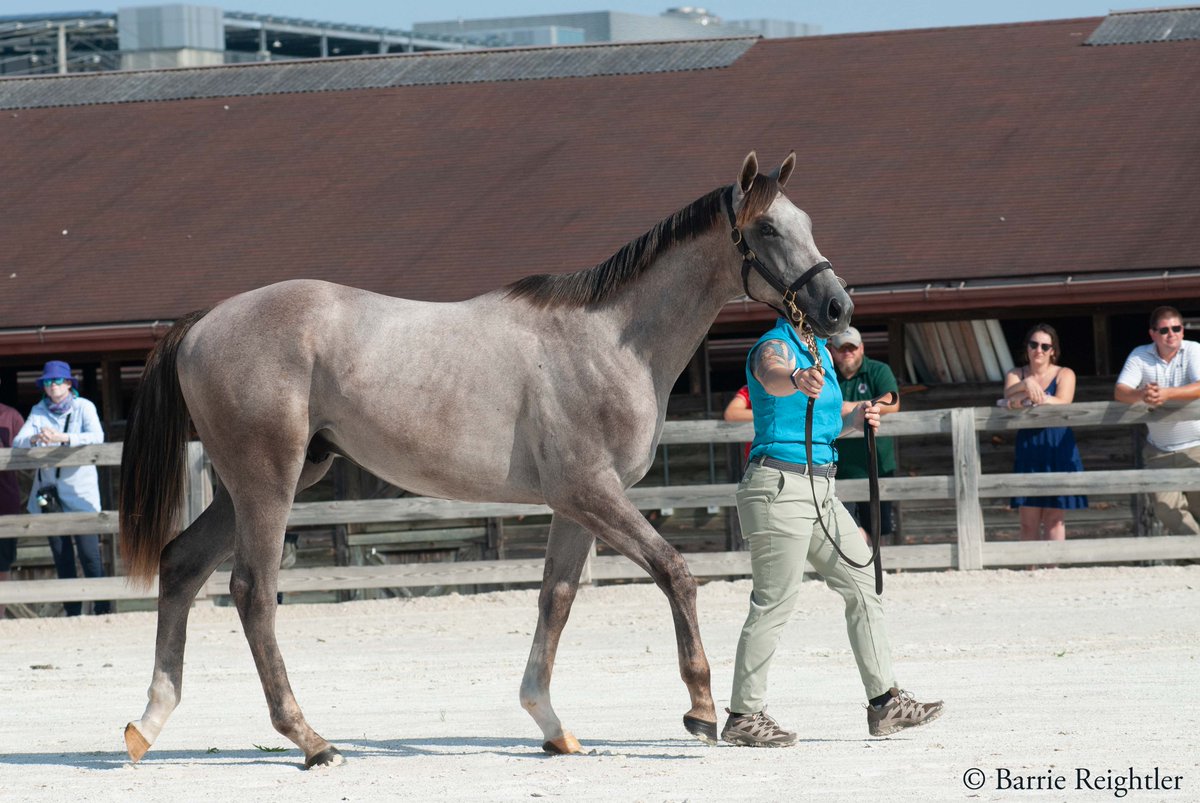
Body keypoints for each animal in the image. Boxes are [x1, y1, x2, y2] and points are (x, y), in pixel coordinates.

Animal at [119, 150, 854, 763]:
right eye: (767, 231)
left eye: (808, 223)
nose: (837, 306)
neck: (613, 341)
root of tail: (204, 323)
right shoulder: (593, 492)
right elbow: (675, 572)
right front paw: (701, 710)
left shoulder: (575, 505)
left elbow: (556, 599)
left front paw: (552, 726)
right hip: (268, 483)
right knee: (251, 593)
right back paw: (310, 739)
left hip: (258, 483)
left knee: (181, 565)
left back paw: (148, 724)